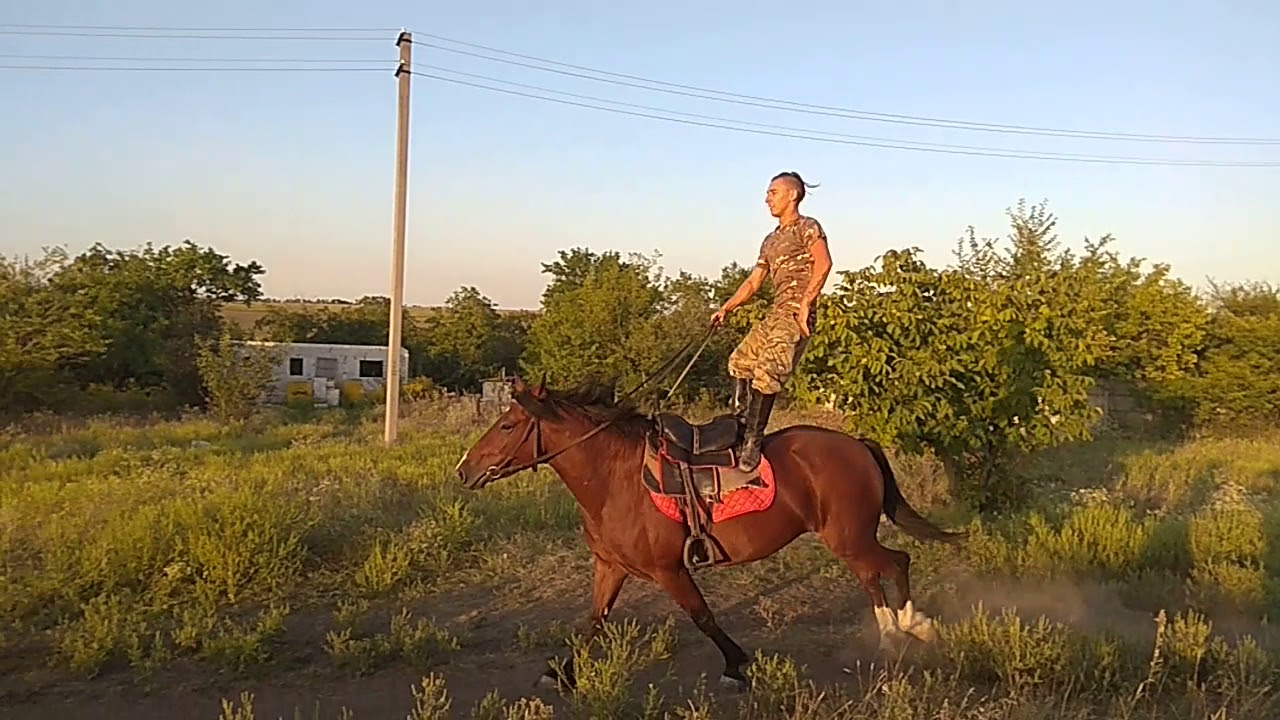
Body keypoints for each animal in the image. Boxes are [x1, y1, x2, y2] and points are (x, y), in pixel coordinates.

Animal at [455, 371, 962, 686]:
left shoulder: (670, 571)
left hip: (848, 538)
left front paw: (736, 666)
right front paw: (560, 672)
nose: (464, 470)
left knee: (890, 565)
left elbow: (704, 617)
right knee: (885, 568)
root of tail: (856, 444)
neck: (617, 478)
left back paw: (902, 629)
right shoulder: (610, 567)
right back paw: (904, 628)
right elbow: (595, 620)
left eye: (507, 425)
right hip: (851, 538)